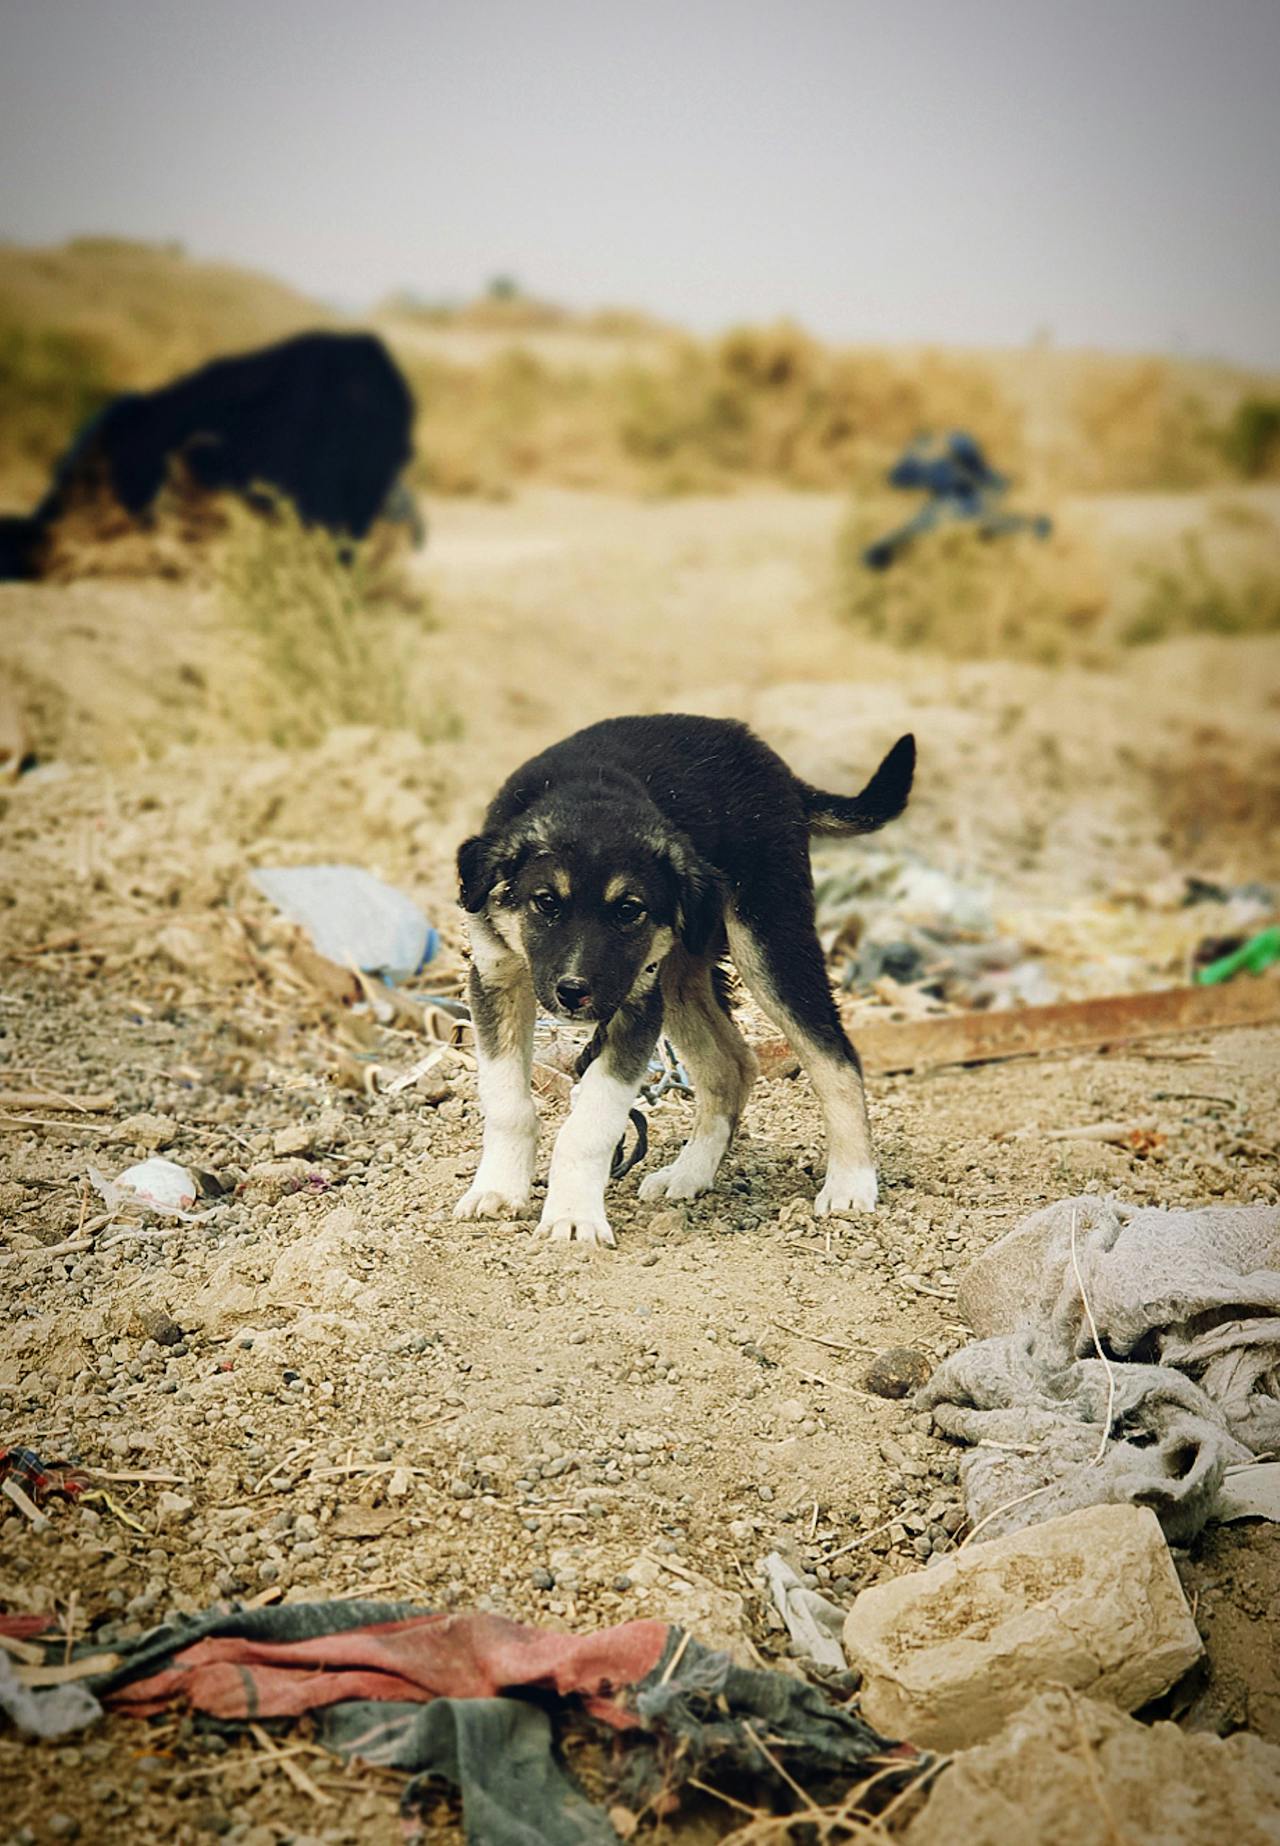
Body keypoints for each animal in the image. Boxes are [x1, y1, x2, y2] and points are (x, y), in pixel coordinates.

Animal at [454, 712, 912, 1247]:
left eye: (628, 910)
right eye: (546, 902)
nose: (573, 994)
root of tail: (771, 761)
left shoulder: (635, 1005)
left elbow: (589, 1126)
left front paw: (572, 1218)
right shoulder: (495, 979)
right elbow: (507, 1103)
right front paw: (498, 1190)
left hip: (767, 940)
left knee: (834, 1056)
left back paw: (850, 1184)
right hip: (681, 973)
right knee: (732, 1065)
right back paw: (690, 1174)